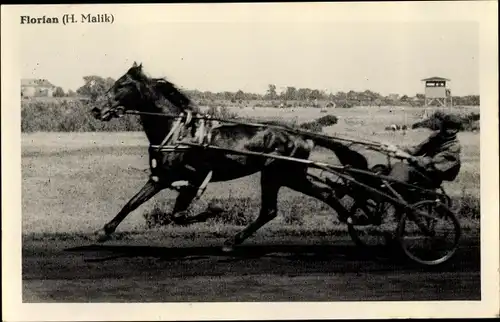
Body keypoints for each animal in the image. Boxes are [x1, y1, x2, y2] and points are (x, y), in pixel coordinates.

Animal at [92, 62, 370, 252]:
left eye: (122, 84)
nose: (96, 109)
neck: (179, 133)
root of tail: (300, 134)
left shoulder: (193, 178)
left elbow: (178, 215)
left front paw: (212, 211)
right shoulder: (160, 177)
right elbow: (132, 203)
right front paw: (104, 231)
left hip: (278, 173)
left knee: (276, 208)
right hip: (289, 176)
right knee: (318, 196)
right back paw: (354, 232)